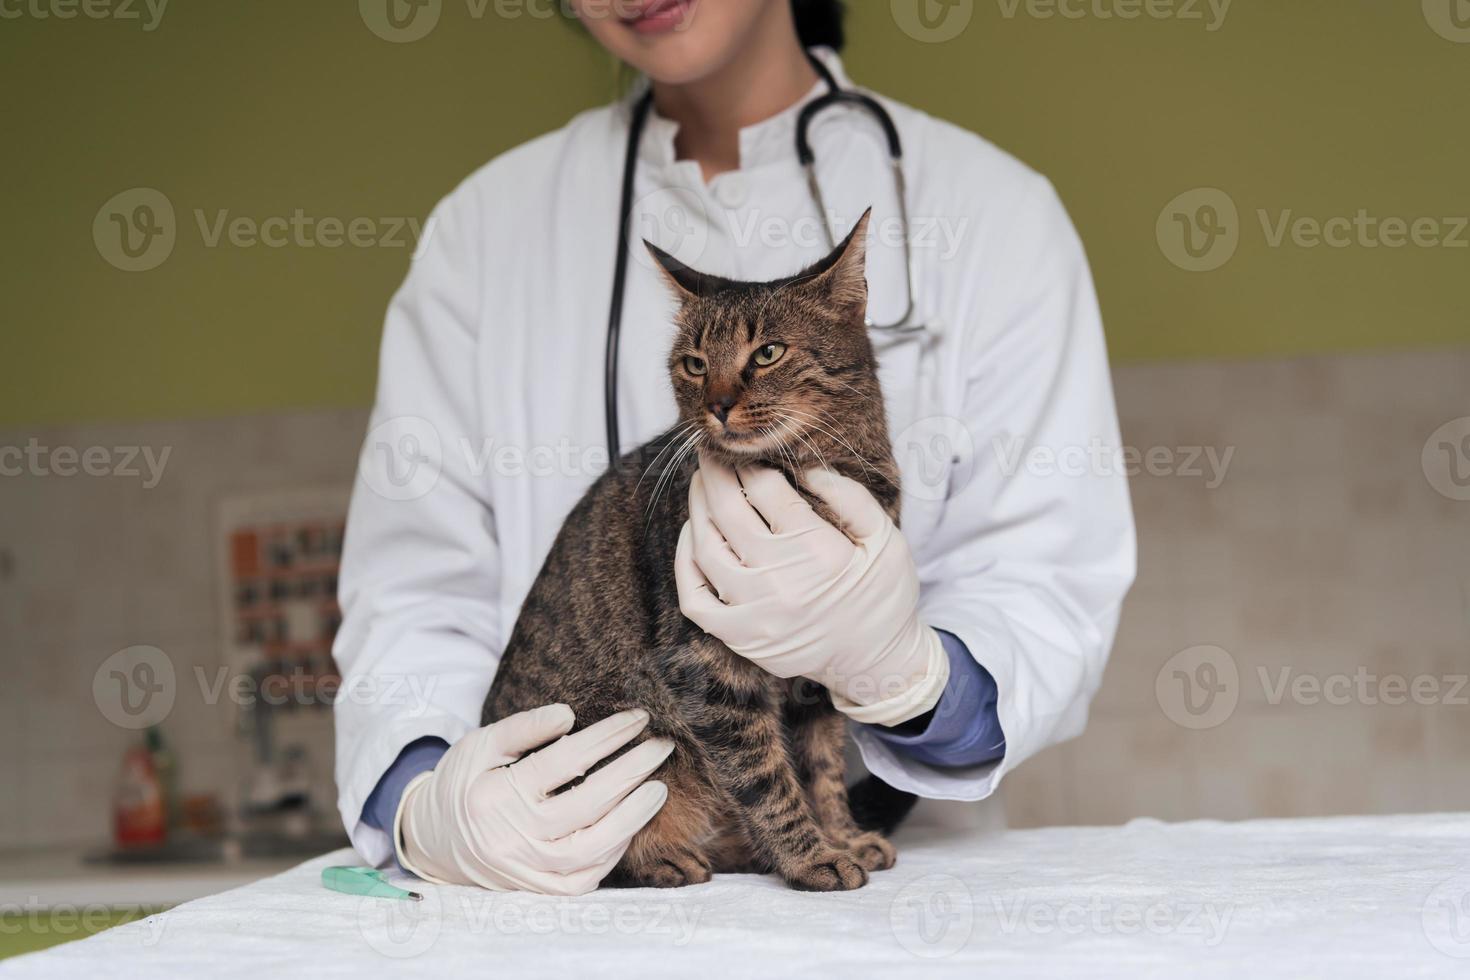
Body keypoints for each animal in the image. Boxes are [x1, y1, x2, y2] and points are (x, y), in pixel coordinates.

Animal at [488, 211, 911, 893]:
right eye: (693, 363)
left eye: (767, 353)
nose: (716, 403)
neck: (818, 472)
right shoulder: (707, 663)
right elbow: (765, 775)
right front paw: (811, 856)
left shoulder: (824, 658)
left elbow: (820, 766)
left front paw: (842, 836)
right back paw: (666, 857)